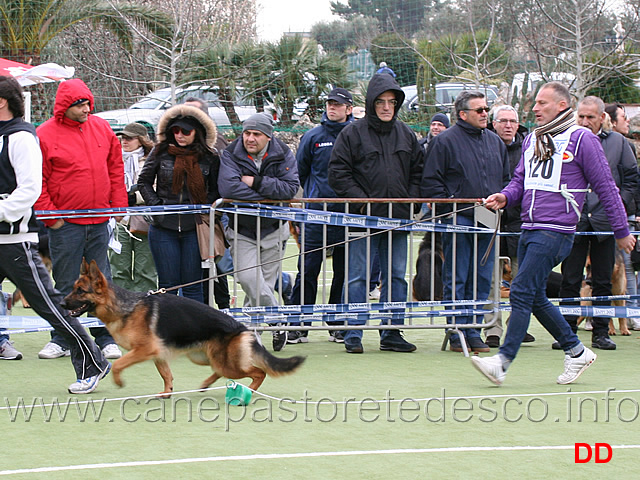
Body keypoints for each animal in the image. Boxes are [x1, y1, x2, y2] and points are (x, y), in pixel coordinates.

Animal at [62, 260, 304, 396]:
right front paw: (166, 393)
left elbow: (119, 364)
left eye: (81, 291)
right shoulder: (157, 354)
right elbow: (166, 375)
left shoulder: (144, 350)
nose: (62, 304)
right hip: (203, 358)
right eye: (74, 288)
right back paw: (206, 384)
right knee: (221, 371)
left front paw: (119, 381)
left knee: (258, 372)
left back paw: (249, 392)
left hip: (226, 364)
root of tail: (241, 328)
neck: (126, 308)